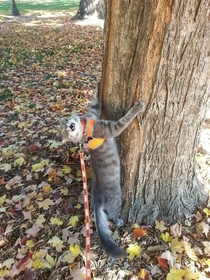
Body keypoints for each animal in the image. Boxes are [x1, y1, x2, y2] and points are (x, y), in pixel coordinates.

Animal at [60, 88, 145, 258]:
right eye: (67, 131)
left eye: (69, 125)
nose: (71, 127)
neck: (86, 127)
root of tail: (98, 197)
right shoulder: (110, 128)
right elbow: (124, 120)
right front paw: (137, 108)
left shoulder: (93, 111)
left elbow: (95, 100)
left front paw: (98, 86)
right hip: (116, 198)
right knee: (112, 215)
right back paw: (119, 221)